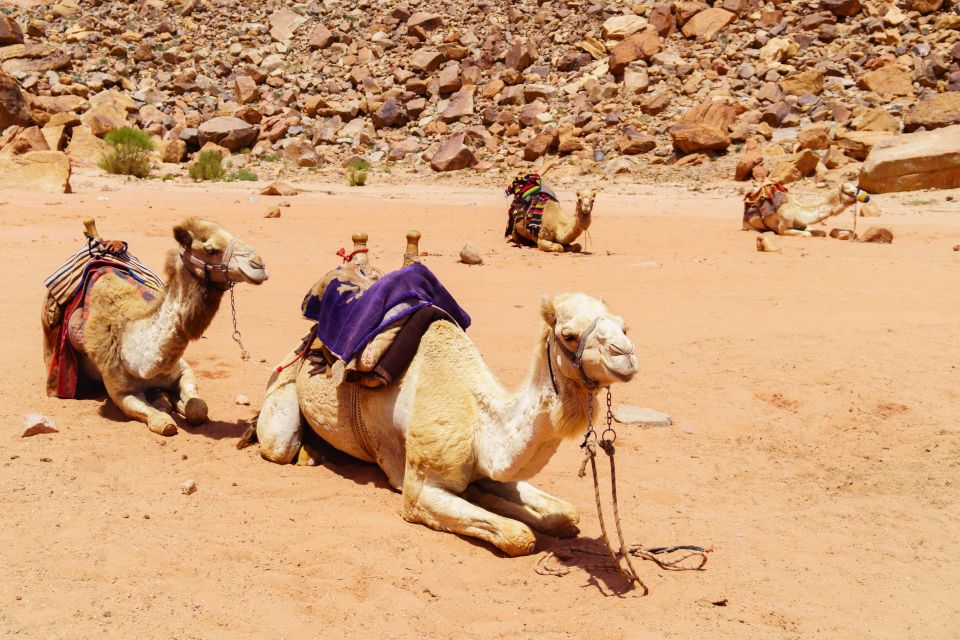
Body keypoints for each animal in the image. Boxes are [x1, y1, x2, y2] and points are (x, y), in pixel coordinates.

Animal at [255, 250, 636, 556]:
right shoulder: (418, 490)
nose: (627, 354)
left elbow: (565, 513)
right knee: (278, 445)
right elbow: (519, 536)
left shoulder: (489, 466)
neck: (478, 414)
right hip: (282, 391)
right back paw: (306, 453)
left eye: (624, 326)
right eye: (569, 335)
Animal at [744, 180, 872, 238]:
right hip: (749, 225)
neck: (797, 211)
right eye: (851, 191)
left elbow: (820, 232)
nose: (867, 197)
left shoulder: (802, 224)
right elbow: (807, 234)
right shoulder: (783, 229)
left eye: (855, 187)